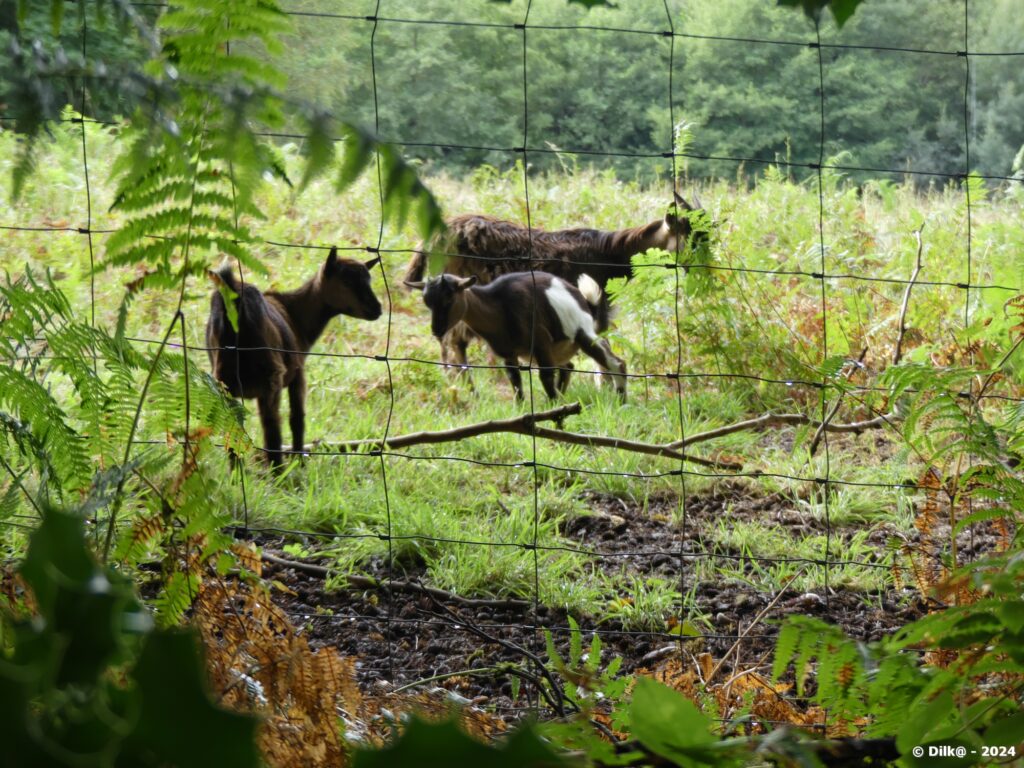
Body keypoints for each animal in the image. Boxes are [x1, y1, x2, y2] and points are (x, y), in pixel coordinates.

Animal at [403, 272, 626, 403]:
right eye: (427, 302)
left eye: (449, 298)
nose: (437, 330)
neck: (499, 307)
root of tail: (584, 301)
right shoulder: (508, 353)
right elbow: (515, 381)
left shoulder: (541, 343)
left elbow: (545, 377)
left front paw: (554, 411)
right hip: (561, 347)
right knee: (569, 367)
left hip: (583, 333)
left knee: (616, 363)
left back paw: (622, 401)